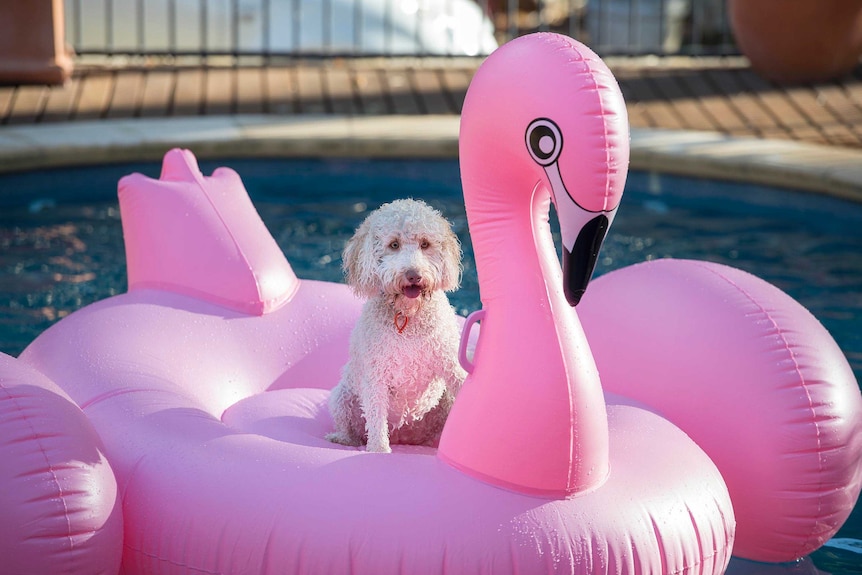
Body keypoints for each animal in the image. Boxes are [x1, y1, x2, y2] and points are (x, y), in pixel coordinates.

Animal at [328, 199, 470, 454]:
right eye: (394, 244)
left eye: (425, 244)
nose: (413, 275)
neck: (407, 315)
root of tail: (403, 437)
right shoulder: (376, 375)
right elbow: (376, 419)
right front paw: (379, 452)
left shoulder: (450, 362)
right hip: (342, 397)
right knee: (351, 429)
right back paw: (342, 439)